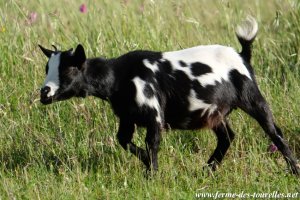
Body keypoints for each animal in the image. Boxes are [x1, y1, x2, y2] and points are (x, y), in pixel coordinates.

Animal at [38, 17, 298, 177]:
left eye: (68, 70)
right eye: (47, 68)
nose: (44, 93)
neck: (119, 76)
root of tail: (242, 55)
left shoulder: (153, 115)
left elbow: (152, 143)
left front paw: (151, 174)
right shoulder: (127, 116)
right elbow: (123, 140)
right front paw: (146, 164)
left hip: (252, 96)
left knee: (274, 131)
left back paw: (294, 168)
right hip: (214, 111)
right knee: (227, 137)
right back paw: (206, 170)